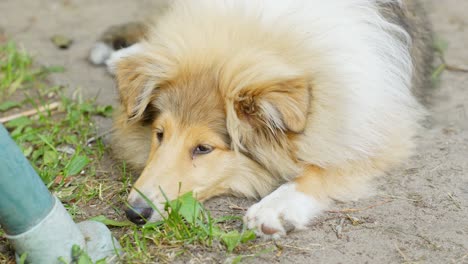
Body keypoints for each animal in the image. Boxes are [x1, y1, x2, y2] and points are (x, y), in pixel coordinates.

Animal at [89, 0, 434, 238]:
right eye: (159, 134)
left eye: (204, 148)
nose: (135, 213)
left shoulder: (375, 130)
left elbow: (321, 169)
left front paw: (274, 209)